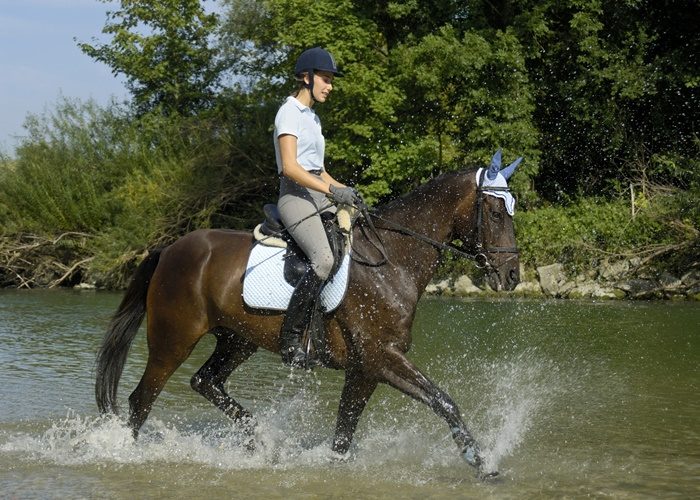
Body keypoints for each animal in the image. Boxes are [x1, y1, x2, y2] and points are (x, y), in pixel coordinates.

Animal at [95, 155, 520, 476]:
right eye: (496, 213)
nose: (513, 275)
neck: (392, 261)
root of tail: (169, 249)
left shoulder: (365, 368)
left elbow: (344, 434)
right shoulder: (382, 356)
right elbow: (443, 401)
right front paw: (481, 463)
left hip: (237, 339)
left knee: (206, 382)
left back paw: (261, 442)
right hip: (174, 340)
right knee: (141, 400)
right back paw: (124, 455)